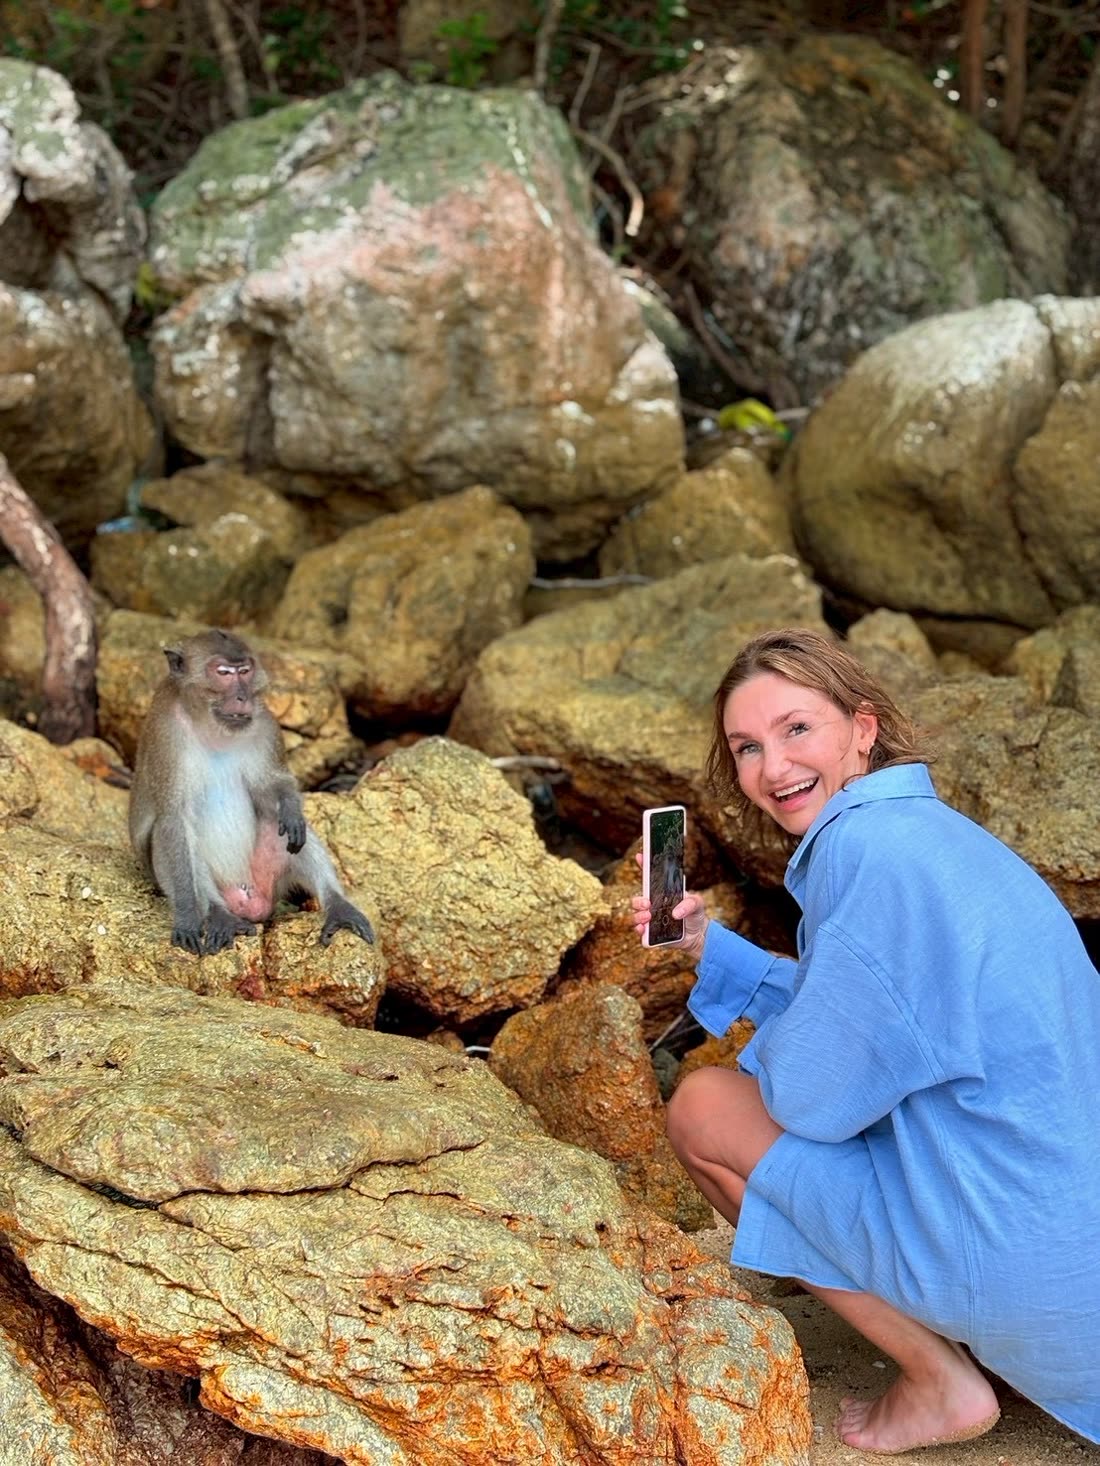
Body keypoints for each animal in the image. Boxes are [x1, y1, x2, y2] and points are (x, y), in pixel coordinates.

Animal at [129, 629, 375, 956]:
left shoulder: (266, 724)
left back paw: (337, 905)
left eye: (244, 671)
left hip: (266, 876)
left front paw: (291, 808)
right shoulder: (165, 735)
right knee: (171, 838)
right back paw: (219, 914)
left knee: (282, 826)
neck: (211, 727)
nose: (242, 696)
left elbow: (272, 784)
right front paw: (187, 917)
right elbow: (172, 821)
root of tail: (250, 900)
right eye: (223, 673)